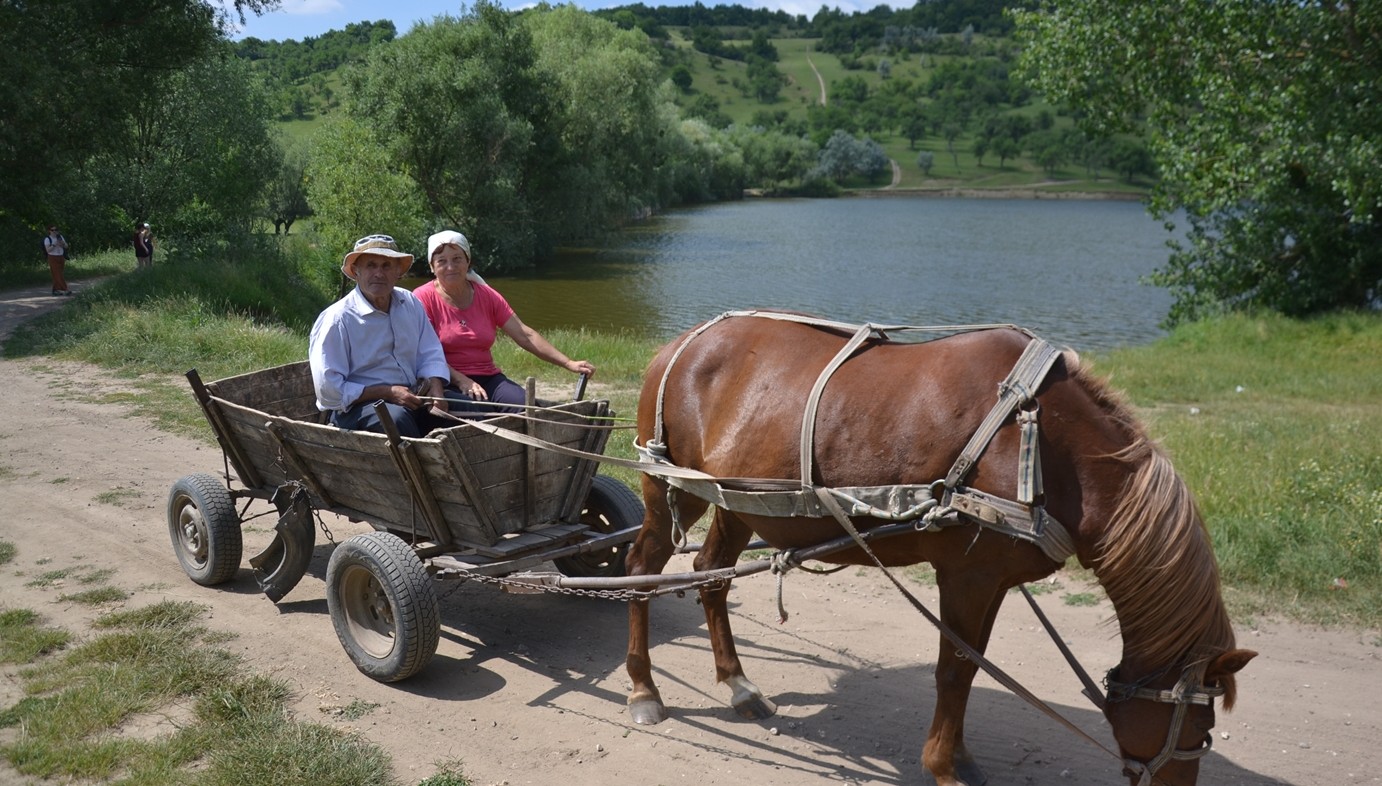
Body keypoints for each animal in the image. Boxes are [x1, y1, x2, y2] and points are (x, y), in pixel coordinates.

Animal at [624, 312, 1256, 786]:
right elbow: (954, 670)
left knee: (711, 574)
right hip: (667, 487)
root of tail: (679, 343)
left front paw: (961, 757)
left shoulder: (992, 579)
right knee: (640, 571)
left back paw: (738, 685)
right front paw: (944, 765)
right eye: (1198, 732)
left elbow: (970, 666)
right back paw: (643, 687)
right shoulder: (966, 574)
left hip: (734, 501)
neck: (1038, 443)